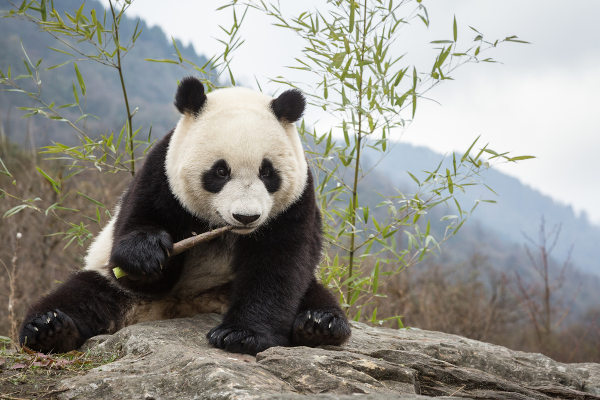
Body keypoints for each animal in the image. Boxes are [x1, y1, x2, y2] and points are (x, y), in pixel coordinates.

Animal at [18, 76, 352, 354]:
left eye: (268, 172)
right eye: (220, 171)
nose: (246, 217)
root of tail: (180, 309)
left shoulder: (296, 201)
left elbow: (277, 266)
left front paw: (240, 335)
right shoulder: (160, 174)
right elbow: (138, 234)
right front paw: (148, 254)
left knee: (311, 294)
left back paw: (319, 325)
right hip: (112, 285)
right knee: (82, 295)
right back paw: (49, 329)